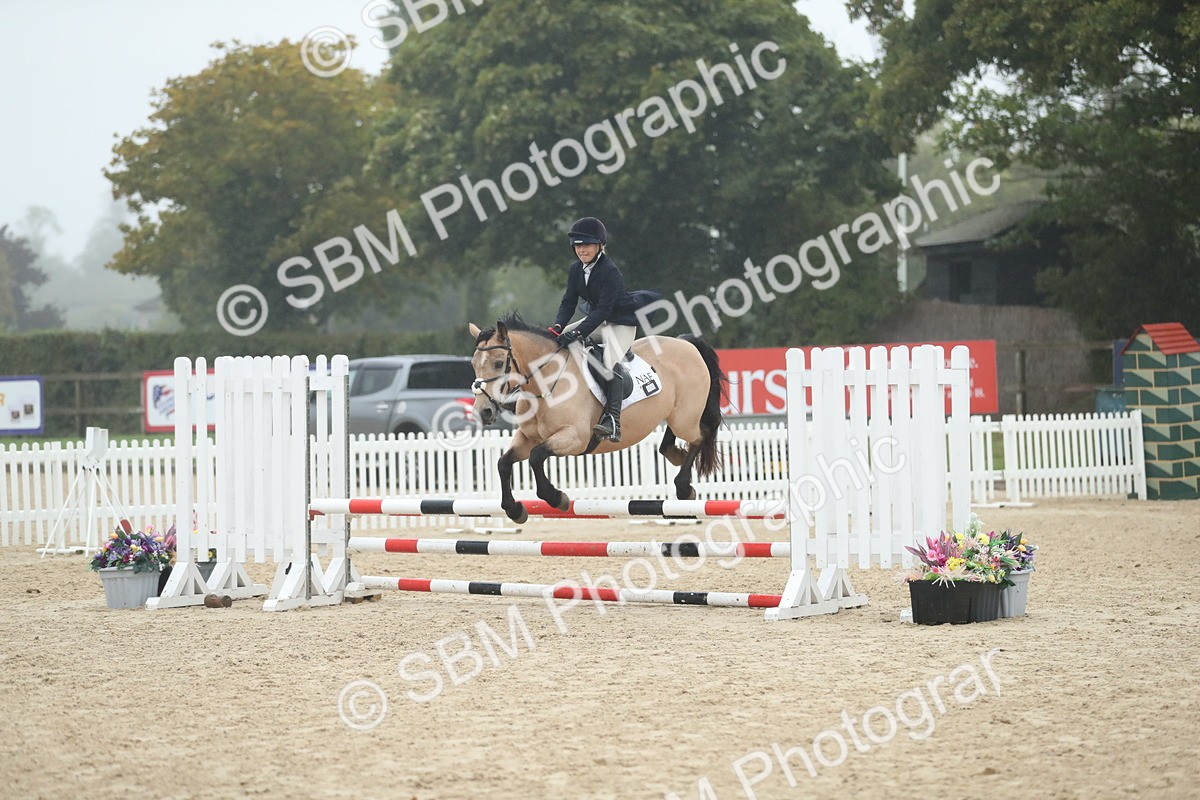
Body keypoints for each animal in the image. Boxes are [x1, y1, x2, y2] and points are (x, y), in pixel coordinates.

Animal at [469, 313, 728, 523]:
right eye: (473, 364)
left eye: (499, 363)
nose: (484, 411)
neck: (547, 384)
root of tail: (686, 343)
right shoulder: (527, 438)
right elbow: (503, 463)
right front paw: (515, 510)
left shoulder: (574, 437)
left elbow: (536, 457)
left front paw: (557, 498)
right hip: (677, 414)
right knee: (680, 437)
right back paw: (675, 455)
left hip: (685, 417)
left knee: (702, 434)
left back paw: (684, 488)